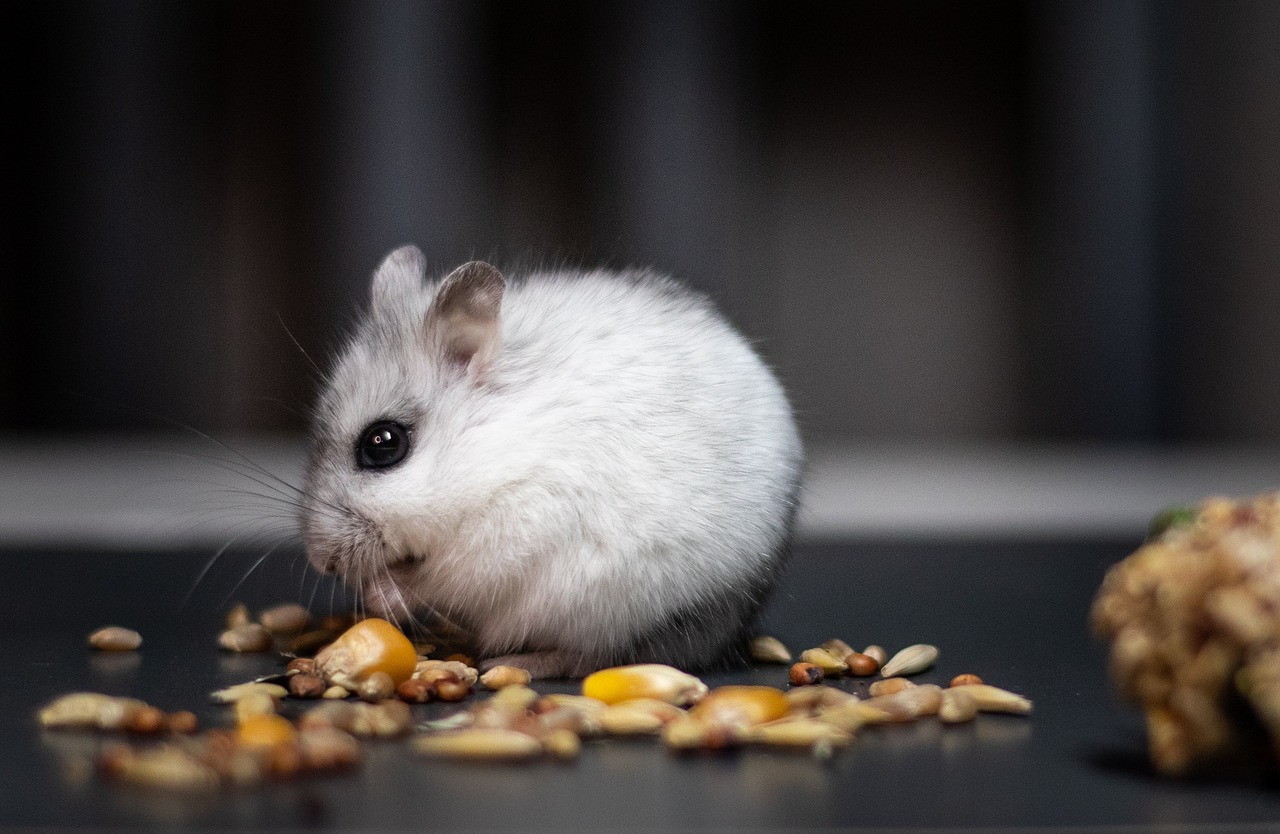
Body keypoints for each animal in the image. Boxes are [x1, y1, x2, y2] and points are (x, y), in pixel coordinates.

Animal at [299, 245, 798, 675]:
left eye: (383, 444)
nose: (321, 564)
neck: (491, 449)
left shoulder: (506, 533)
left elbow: (434, 579)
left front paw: (380, 595)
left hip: (631, 609)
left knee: (596, 657)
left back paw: (512, 663)